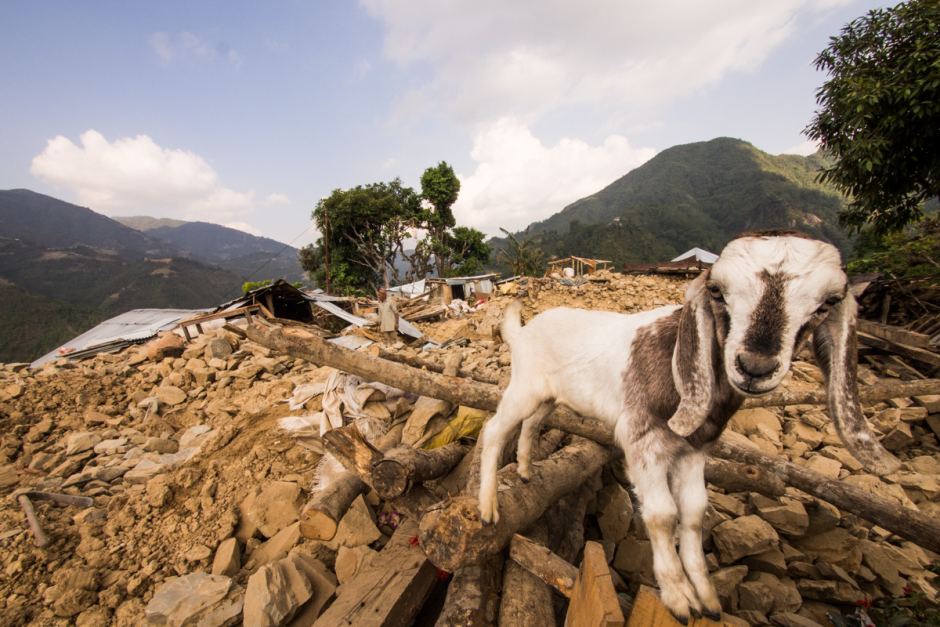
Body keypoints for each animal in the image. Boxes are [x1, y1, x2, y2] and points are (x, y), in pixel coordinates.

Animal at [482, 231, 900, 624]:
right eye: (717, 290)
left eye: (828, 302)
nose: (755, 366)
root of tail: (522, 331)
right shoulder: (641, 438)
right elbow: (663, 514)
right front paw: (678, 598)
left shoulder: (696, 448)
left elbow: (695, 512)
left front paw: (707, 597)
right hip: (523, 386)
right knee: (494, 430)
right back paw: (488, 508)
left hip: (548, 396)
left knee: (532, 423)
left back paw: (524, 470)